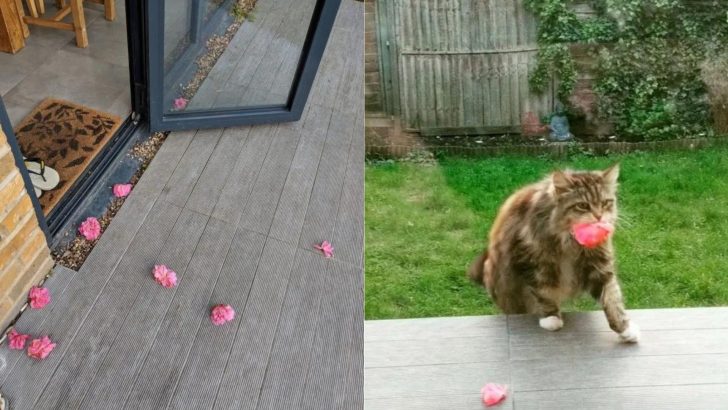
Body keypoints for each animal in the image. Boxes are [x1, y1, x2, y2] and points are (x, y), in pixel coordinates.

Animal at [472, 164, 636, 342]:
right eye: (582, 205)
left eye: (605, 203)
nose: (599, 217)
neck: (570, 241)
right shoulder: (531, 262)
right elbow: (543, 292)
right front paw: (551, 318)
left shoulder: (599, 265)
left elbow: (612, 298)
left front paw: (625, 329)